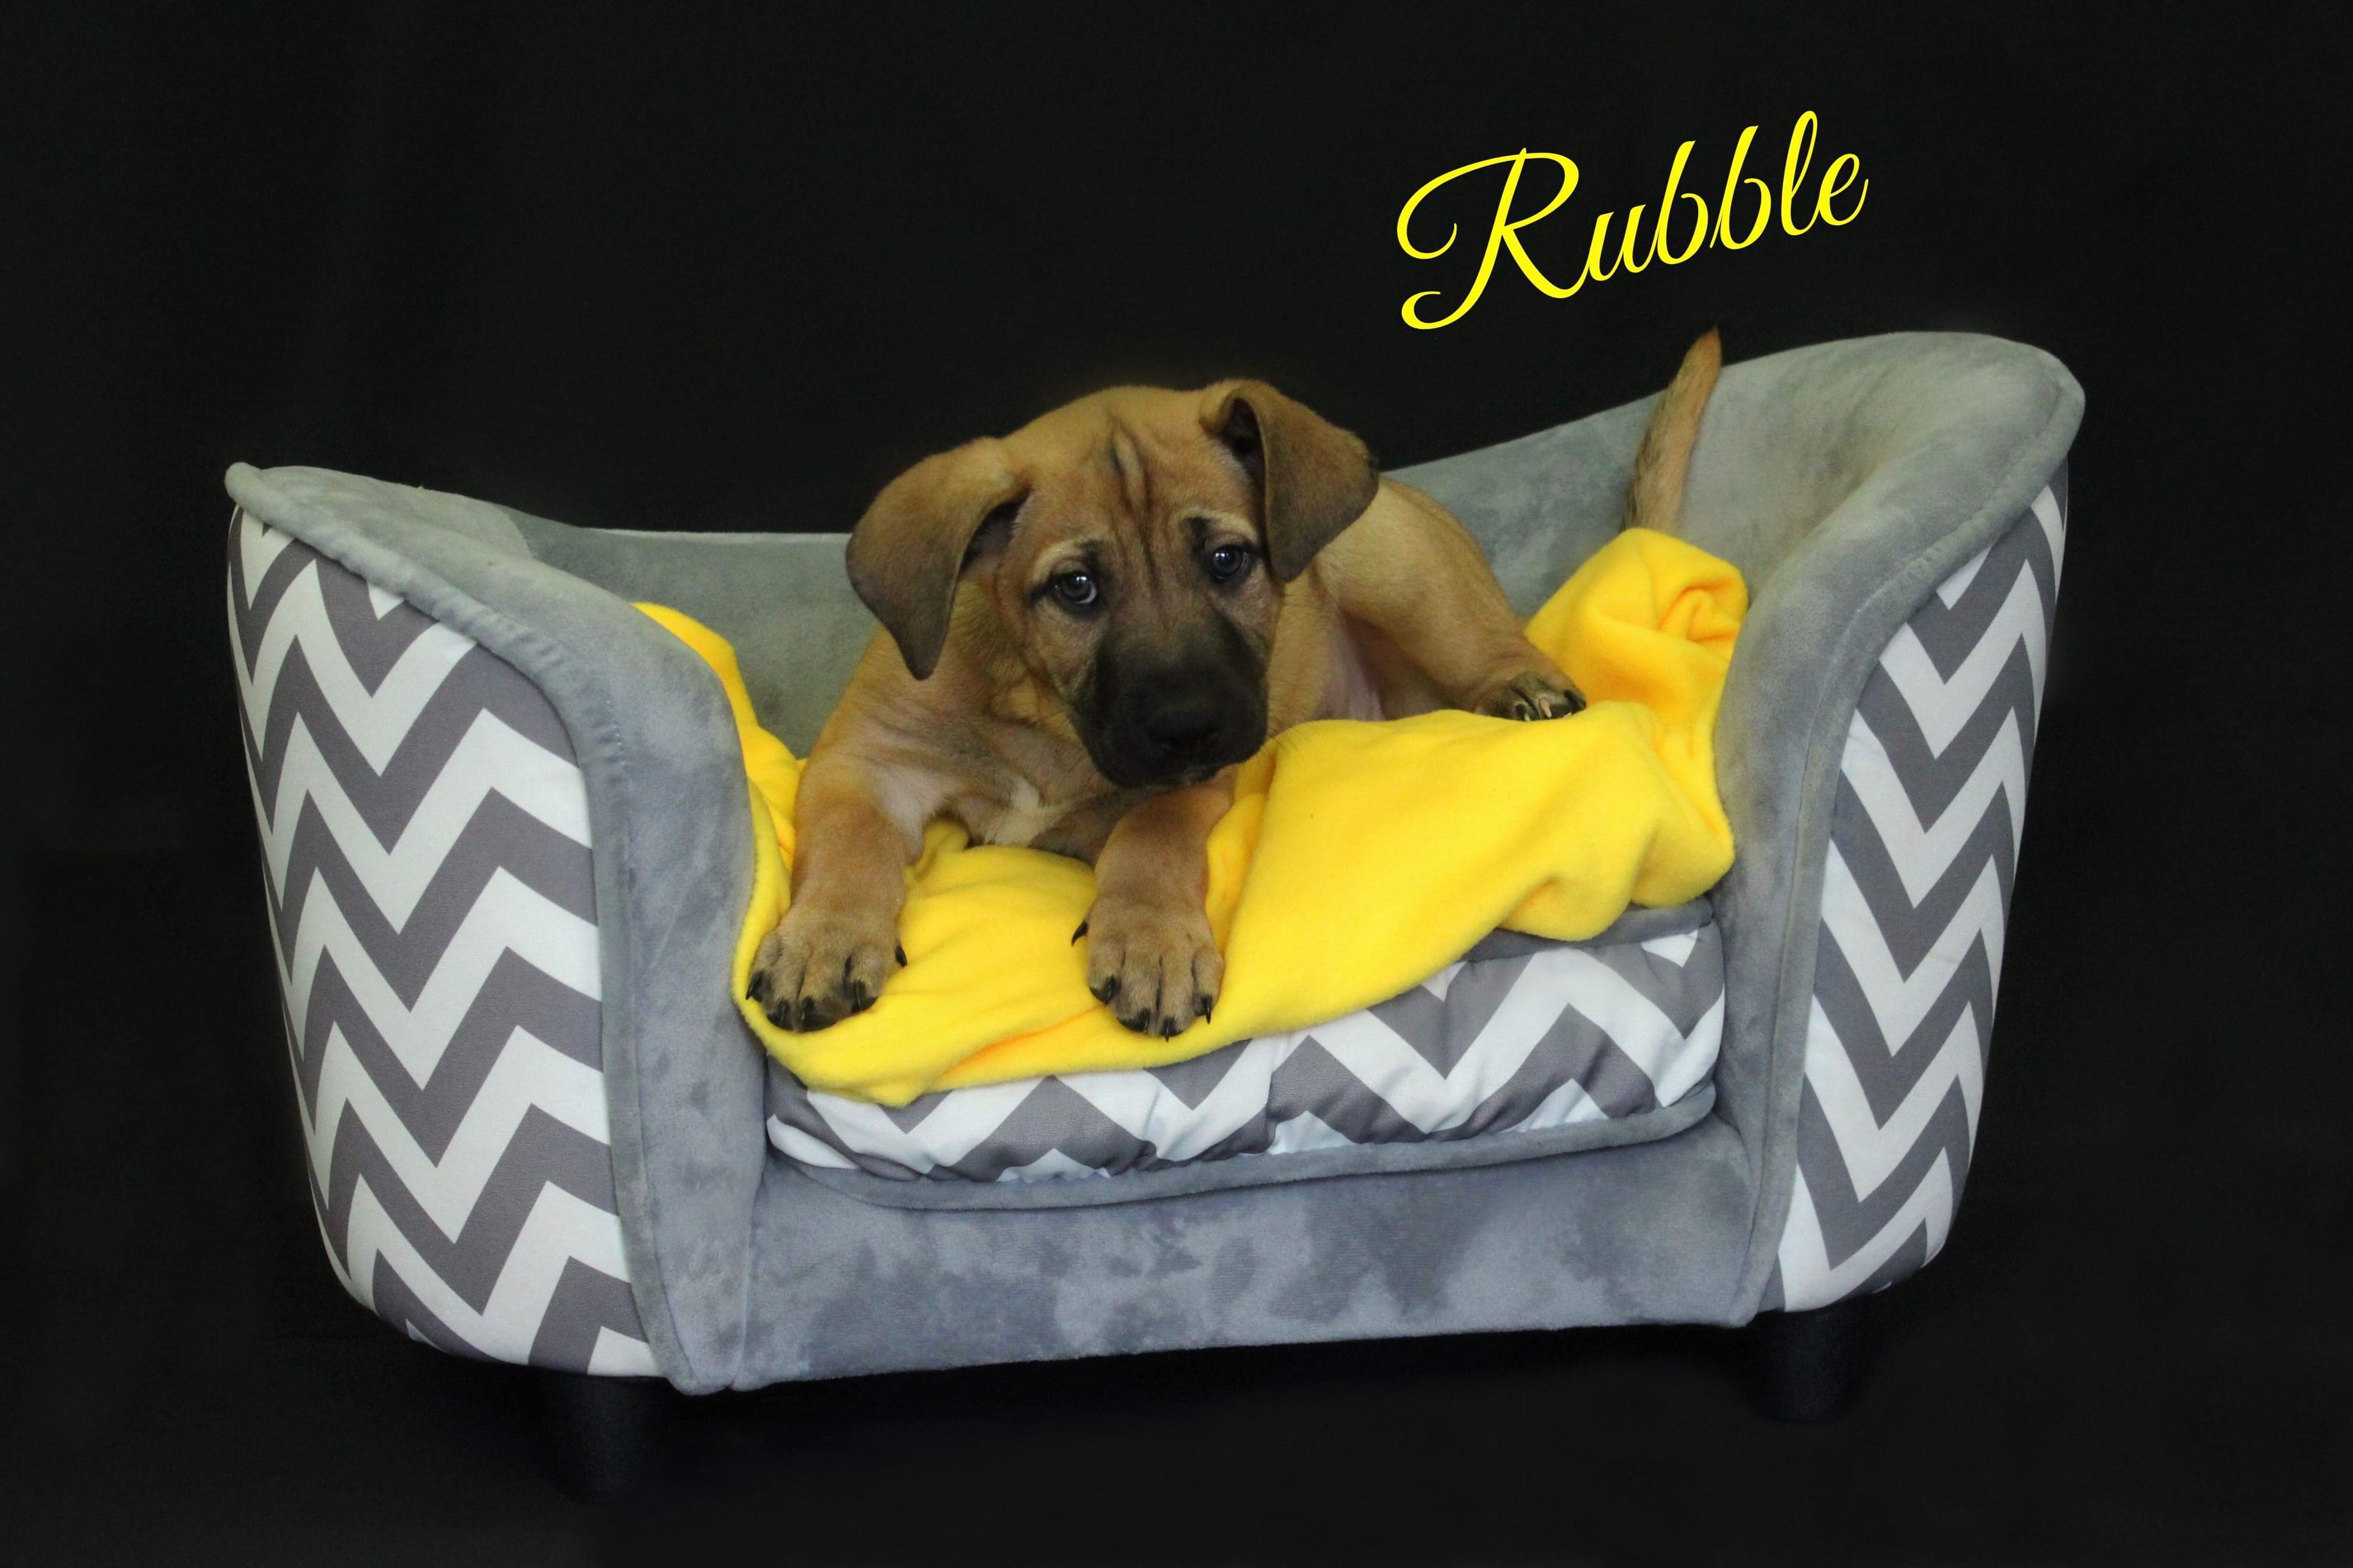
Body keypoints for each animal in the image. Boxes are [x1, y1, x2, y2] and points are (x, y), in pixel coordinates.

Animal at [749, 330, 1722, 1038]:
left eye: (1227, 561)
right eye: (1077, 587)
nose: (1191, 725)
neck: (1046, 717)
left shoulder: (1194, 782)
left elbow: (1149, 832)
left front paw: (1152, 938)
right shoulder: (863, 761)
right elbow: (850, 844)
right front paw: (825, 937)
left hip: (1392, 561)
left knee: (1496, 641)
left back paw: (1522, 687)